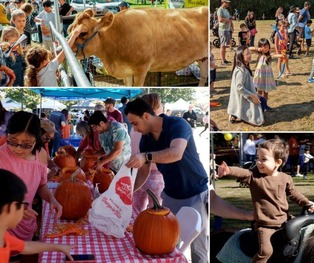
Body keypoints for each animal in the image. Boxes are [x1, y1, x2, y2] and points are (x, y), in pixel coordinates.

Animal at [70, 7, 210, 86]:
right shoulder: (126, 72)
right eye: (69, 29)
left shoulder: (141, 69)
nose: (67, 49)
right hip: (203, 58)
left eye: (83, 33)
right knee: (204, 77)